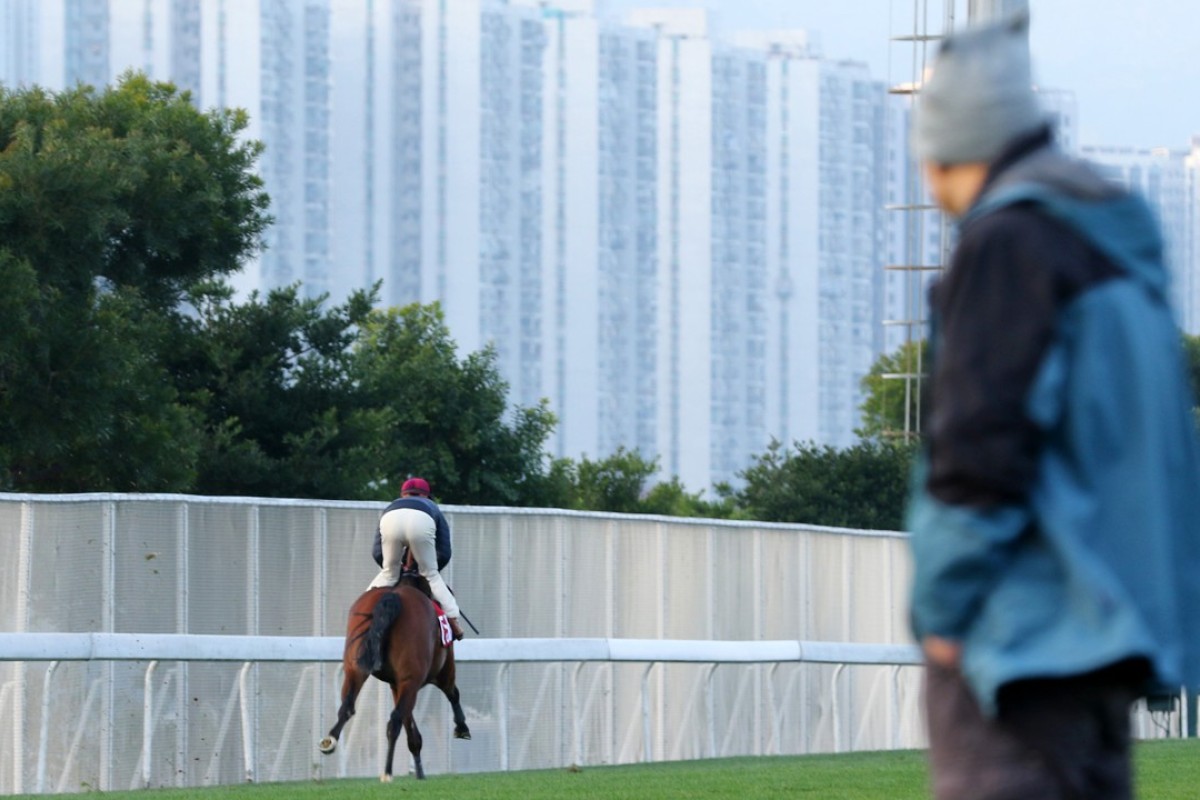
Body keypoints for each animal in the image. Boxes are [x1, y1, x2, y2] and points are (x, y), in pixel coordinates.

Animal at [319, 575, 468, 782]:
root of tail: (392, 597)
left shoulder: (396, 684)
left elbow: (409, 719)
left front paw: (418, 766)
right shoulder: (439, 672)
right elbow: (453, 693)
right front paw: (462, 727)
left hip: (354, 668)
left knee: (347, 706)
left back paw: (330, 741)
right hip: (412, 678)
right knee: (394, 720)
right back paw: (387, 771)